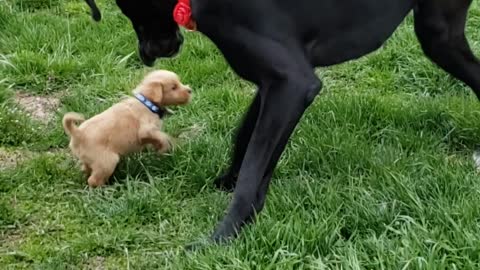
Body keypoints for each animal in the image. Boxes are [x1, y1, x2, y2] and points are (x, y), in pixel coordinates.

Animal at [61, 70, 191, 188]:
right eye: (174, 87)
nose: (190, 90)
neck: (147, 103)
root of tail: (77, 133)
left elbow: (157, 138)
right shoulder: (146, 130)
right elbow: (162, 136)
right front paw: (166, 146)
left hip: (90, 160)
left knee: (86, 170)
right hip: (108, 161)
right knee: (93, 180)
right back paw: (106, 190)